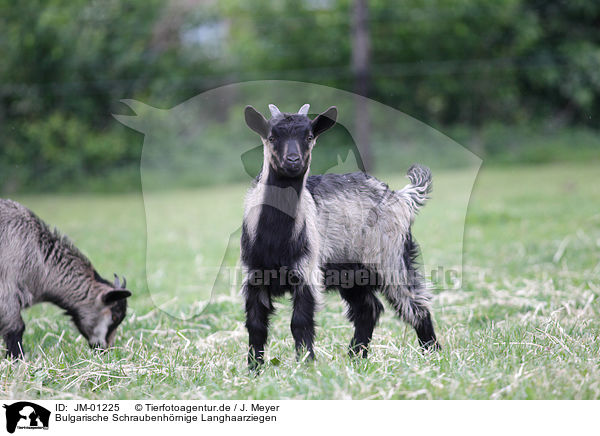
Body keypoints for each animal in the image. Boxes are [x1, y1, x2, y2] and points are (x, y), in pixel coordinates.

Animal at [241, 104, 442, 370]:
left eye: (309, 137)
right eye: (272, 137)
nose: (293, 160)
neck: (275, 238)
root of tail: (400, 196)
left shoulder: (307, 272)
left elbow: (300, 322)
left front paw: (306, 365)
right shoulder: (253, 275)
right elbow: (256, 325)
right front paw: (254, 369)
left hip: (391, 259)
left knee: (415, 304)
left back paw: (433, 354)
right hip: (352, 273)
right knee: (369, 309)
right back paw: (356, 357)